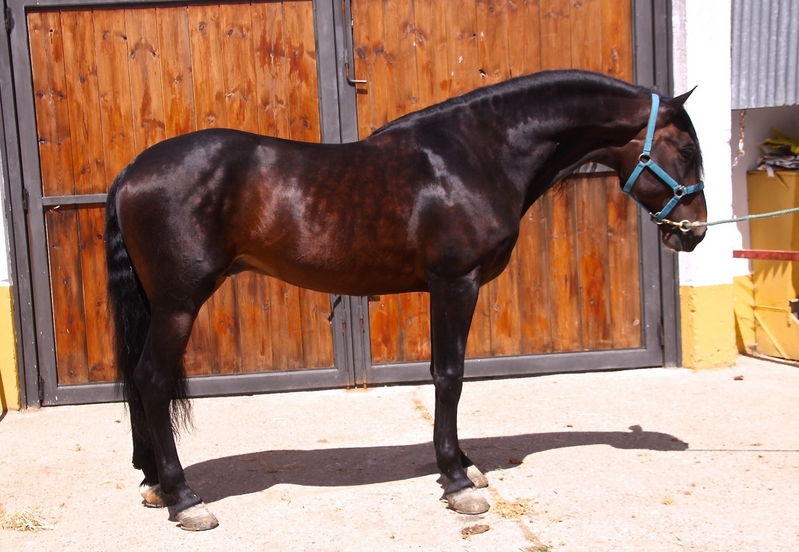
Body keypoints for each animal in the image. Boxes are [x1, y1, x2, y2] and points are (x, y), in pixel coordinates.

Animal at [105, 69, 707, 531]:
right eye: (685, 149)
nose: (694, 232)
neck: (476, 155)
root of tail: (133, 170)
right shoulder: (455, 283)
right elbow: (449, 376)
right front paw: (458, 482)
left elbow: (449, 376)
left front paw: (465, 464)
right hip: (179, 302)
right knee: (153, 380)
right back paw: (185, 499)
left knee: (138, 379)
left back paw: (155, 484)